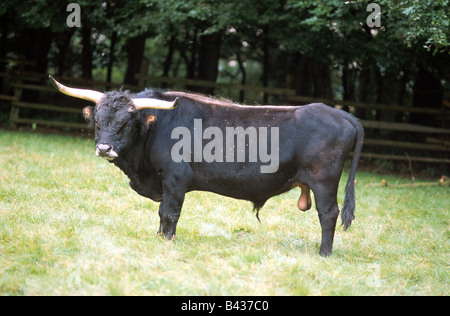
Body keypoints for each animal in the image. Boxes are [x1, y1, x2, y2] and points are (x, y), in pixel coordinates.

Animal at [50, 77, 366, 256]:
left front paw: (167, 242)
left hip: (324, 182)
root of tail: (340, 114)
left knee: (329, 214)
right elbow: (162, 213)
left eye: (127, 123)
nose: (104, 148)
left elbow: (169, 213)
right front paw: (159, 238)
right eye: (97, 121)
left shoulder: (175, 179)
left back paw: (324, 253)